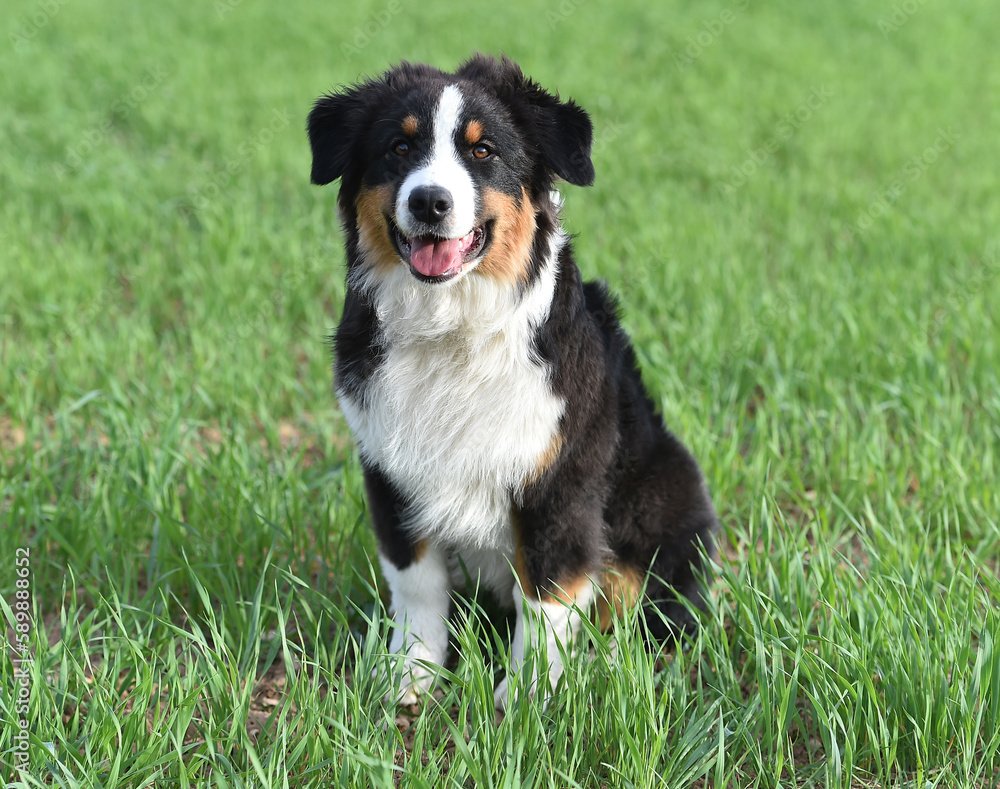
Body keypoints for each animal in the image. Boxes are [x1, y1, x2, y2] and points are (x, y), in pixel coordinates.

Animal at [306, 55, 720, 708]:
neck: (452, 328)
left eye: (483, 151)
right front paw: (410, 673)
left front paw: (527, 697)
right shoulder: (390, 469)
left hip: (663, 493)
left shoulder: (557, 481)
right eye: (399, 146)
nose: (430, 202)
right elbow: (416, 582)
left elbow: (547, 596)